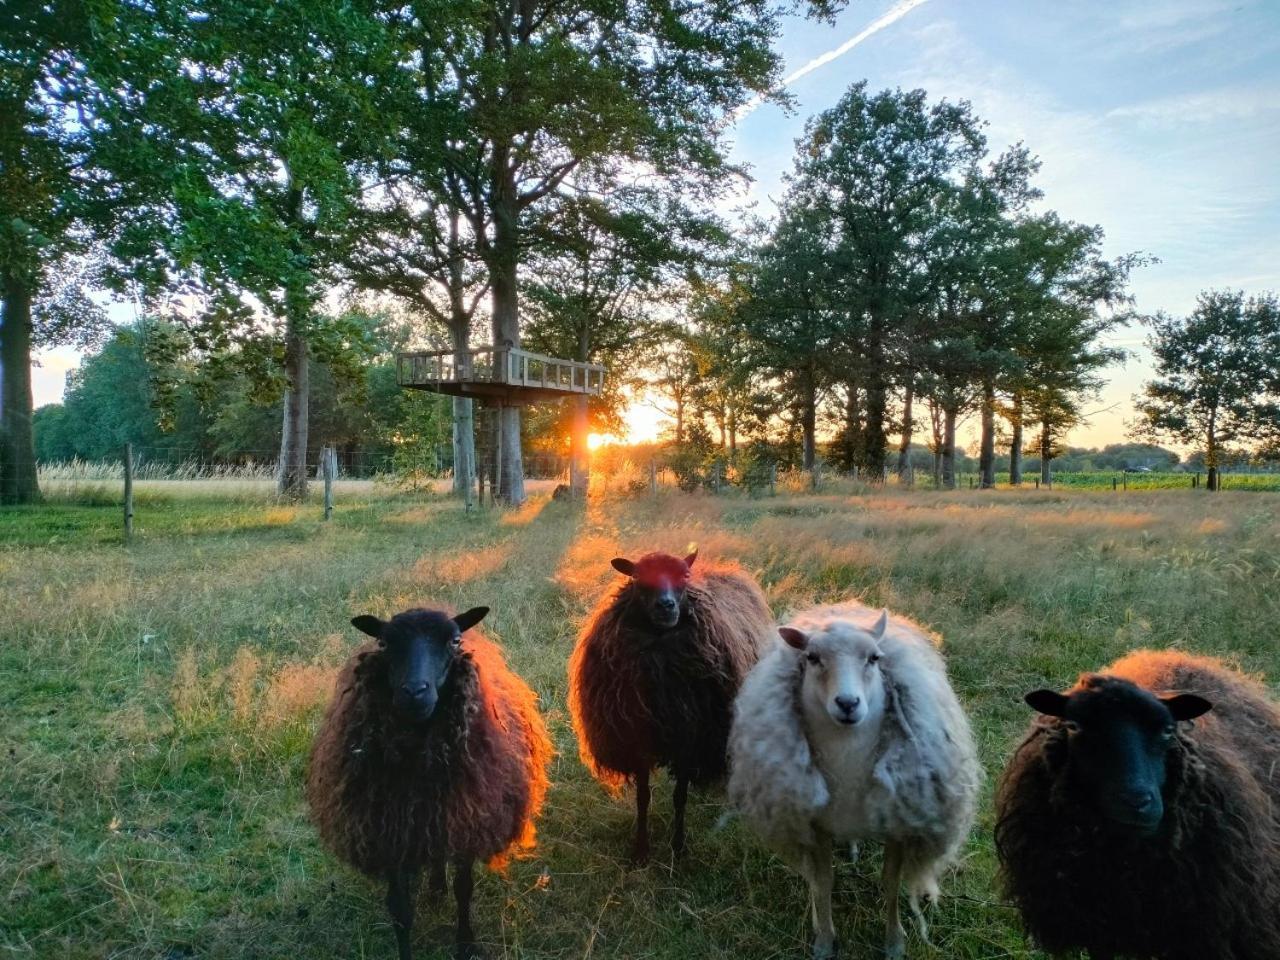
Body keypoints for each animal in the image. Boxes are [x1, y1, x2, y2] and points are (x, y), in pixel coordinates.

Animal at [309, 609, 555, 960]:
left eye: (454, 641)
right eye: (383, 643)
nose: (414, 693)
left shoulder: (466, 823)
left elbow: (464, 890)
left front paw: (465, 944)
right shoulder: (390, 835)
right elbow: (399, 910)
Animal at [568, 547, 768, 865]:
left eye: (683, 576)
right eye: (638, 576)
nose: (666, 606)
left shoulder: (690, 739)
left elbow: (679, 797)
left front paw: (678, 847)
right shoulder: (637, 740)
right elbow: (643, 797)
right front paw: (640, 850)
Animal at [732, 604, 977, 957]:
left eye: (874, 658)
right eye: (812, 657)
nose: (848, 703)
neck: (847, 758)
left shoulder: (899, 822)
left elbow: (891, 882)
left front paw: (894, 942)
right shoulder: (815, 824)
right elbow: (824, 883)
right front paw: (824, 940)